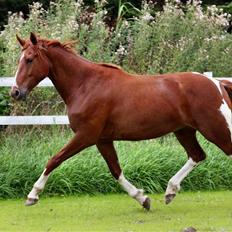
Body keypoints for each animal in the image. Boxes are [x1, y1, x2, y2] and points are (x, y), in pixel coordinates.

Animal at [11, 33, 232, 210]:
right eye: (20, 59)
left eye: (29, 59)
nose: (15, 92)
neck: (86, 84)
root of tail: (218, 83)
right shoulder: (102, 140)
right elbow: (115, 170)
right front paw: (143, 199)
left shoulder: (86, 135)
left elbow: (54, 159)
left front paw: (32, 196)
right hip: (184, 131)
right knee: (197, 155)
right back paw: (170, 191)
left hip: (215, 129)